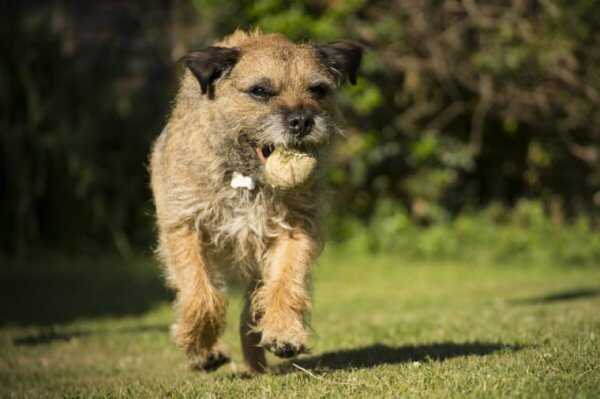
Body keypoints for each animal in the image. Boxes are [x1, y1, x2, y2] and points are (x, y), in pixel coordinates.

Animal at [149, 29, 360, 374]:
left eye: (317, 89)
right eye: (260, 91)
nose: (302, 121)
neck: (246, 177)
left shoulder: (296, 227)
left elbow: (285, 280)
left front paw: (284, 331)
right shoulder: (185, 226)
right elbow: (199, 292)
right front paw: (202, 348)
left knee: (253, 306)